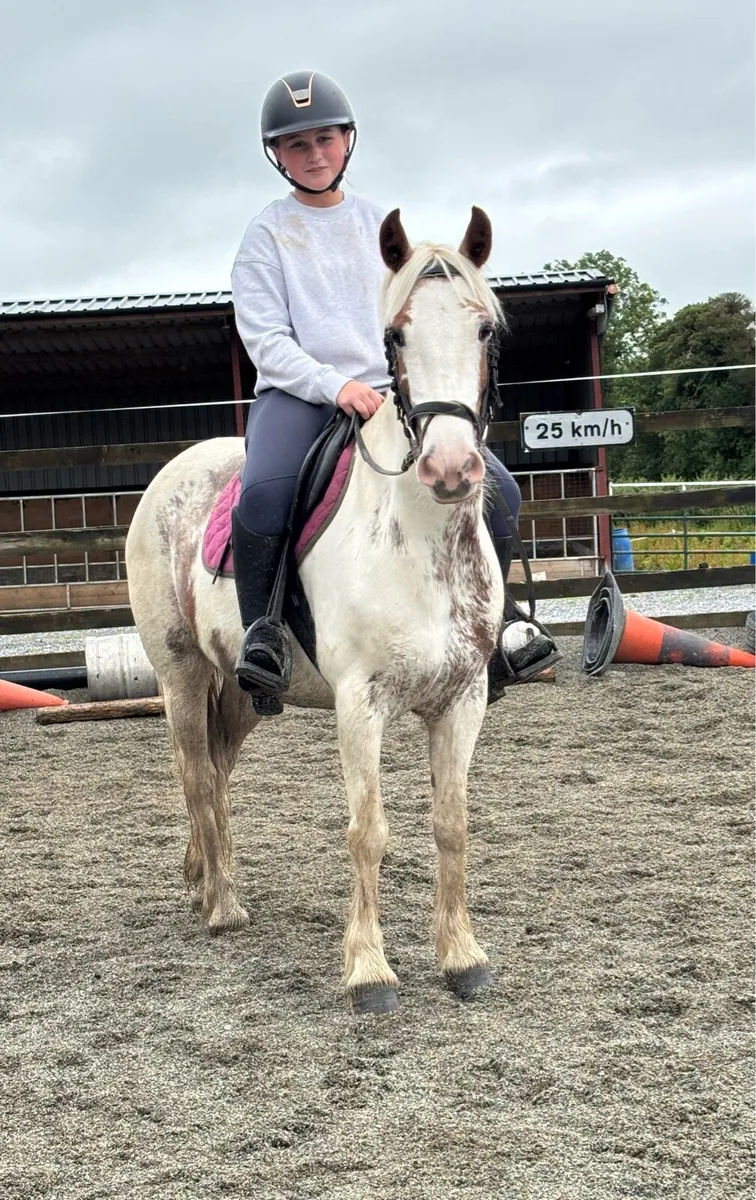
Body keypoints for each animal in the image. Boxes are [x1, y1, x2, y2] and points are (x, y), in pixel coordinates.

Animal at [125, 206, 506, 1014]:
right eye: (396, 335)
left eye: (484, 329)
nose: (450, 469)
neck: (416, 538)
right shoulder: (360, 703)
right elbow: (368, 830)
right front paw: (368, 972)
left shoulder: (463, 697)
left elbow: (451, 824)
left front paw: (462, 957)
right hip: (179, 672)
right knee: (196, 774)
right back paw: (222, 905)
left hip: (242, 690)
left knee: (218, 771)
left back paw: (203, 879)